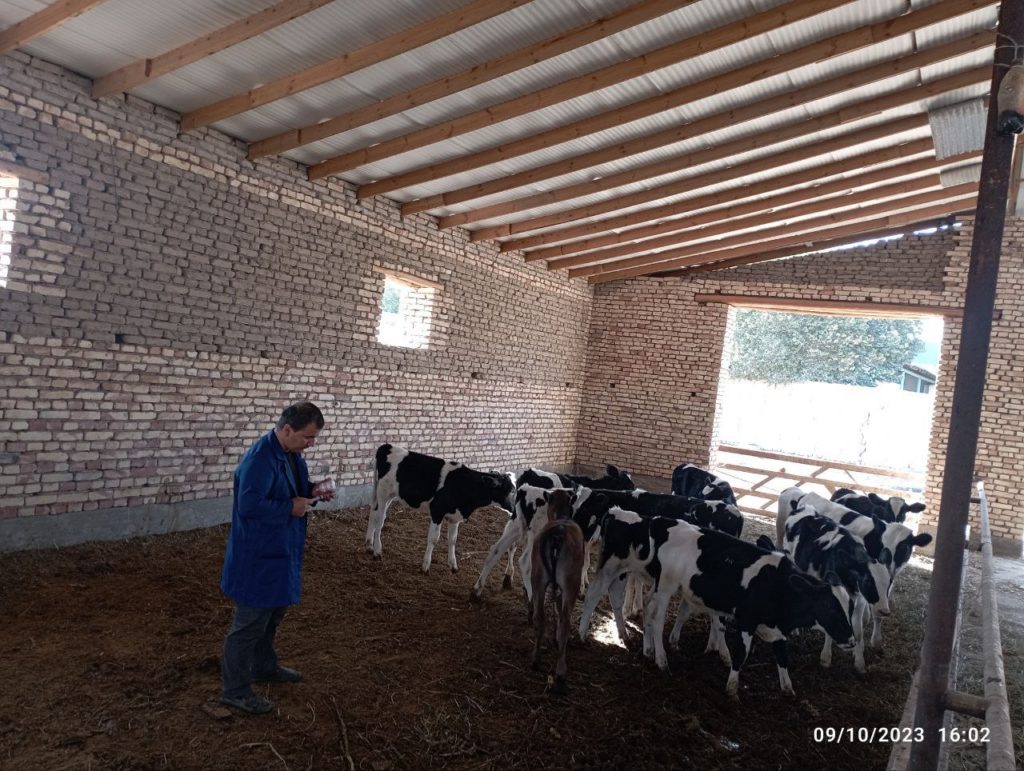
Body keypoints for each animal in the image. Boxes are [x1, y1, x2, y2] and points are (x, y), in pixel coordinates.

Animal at [368, 444, 515, 573]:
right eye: (511, 491)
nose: (515, 509)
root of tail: (387, 446)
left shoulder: (455, 517)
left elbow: (453, 540)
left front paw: (453, 566)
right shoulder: (437, 511)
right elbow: (434, 538)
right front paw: (425, 566)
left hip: (389, 495)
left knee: (374, 514)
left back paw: (369, 544)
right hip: (383, 493)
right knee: (380, 520)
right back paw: (377, 551)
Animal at [529, 511, 586, 695]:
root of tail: (558, 535)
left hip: (538, 576)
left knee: (539, 617)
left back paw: (535, 659)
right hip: (570, 580)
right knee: (565, 622)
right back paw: (561, 675)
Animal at [578, 508, 856, 697]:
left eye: (849, 607)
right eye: (830, 606)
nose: (852, 640)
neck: (777, 585)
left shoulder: (776, 628)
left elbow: (782, 656)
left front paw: (788, 688)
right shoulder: (746, 619)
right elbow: (741, 653)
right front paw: (732, 686)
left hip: (637, 577)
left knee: (636, 605)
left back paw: (642, 647)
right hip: (647, 579)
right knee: (631, 609)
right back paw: (655, 658)